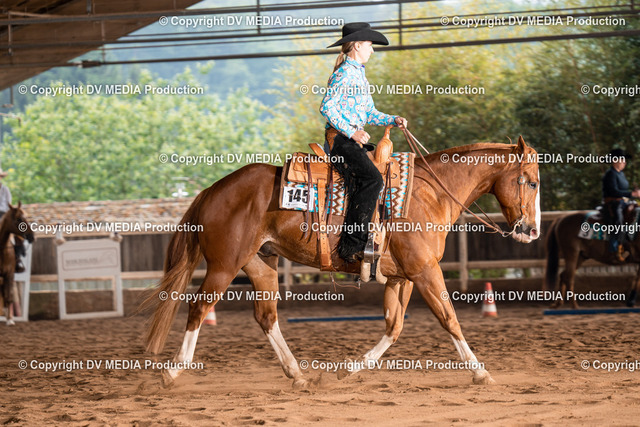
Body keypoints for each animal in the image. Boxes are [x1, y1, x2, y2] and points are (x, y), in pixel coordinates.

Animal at [144, 134, 541, 387]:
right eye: (533, 183)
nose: (532, 230)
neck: (429, 194)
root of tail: (213, 189)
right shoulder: (425, 271)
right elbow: (449, 319)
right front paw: (480, 372)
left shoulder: (402, 278)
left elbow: (394, 327)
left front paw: (350, 369)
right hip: (224, 265)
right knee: (199, 308)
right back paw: (173, 372)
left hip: (261, 264)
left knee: (266, 316)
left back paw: (298, 376)